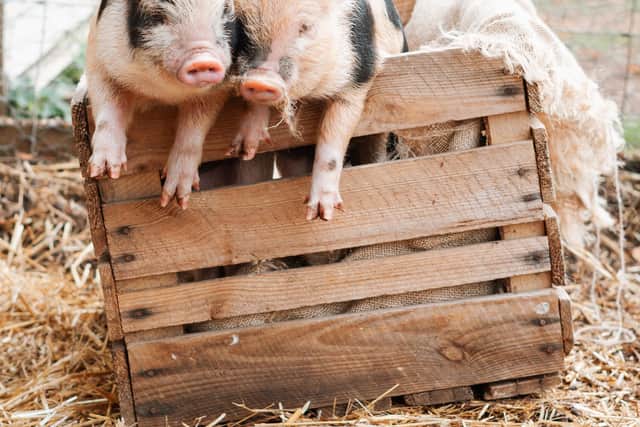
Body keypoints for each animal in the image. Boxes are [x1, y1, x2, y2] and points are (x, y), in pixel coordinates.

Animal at [86, 0, 236, 209]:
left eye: (226, 10)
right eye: (158, 15)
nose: (202, 59)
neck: (163, 93)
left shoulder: (217, 90)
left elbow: (195, 126)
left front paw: (175, 199)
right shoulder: (99, 53)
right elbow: (108, 105)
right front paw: (106, 171)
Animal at [229, 0, 407, 220]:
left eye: (305, 27)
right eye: (243, 26)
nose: (260, 81)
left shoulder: (359, 73)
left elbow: (333, 139)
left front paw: (321, 215)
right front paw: (245, 150)